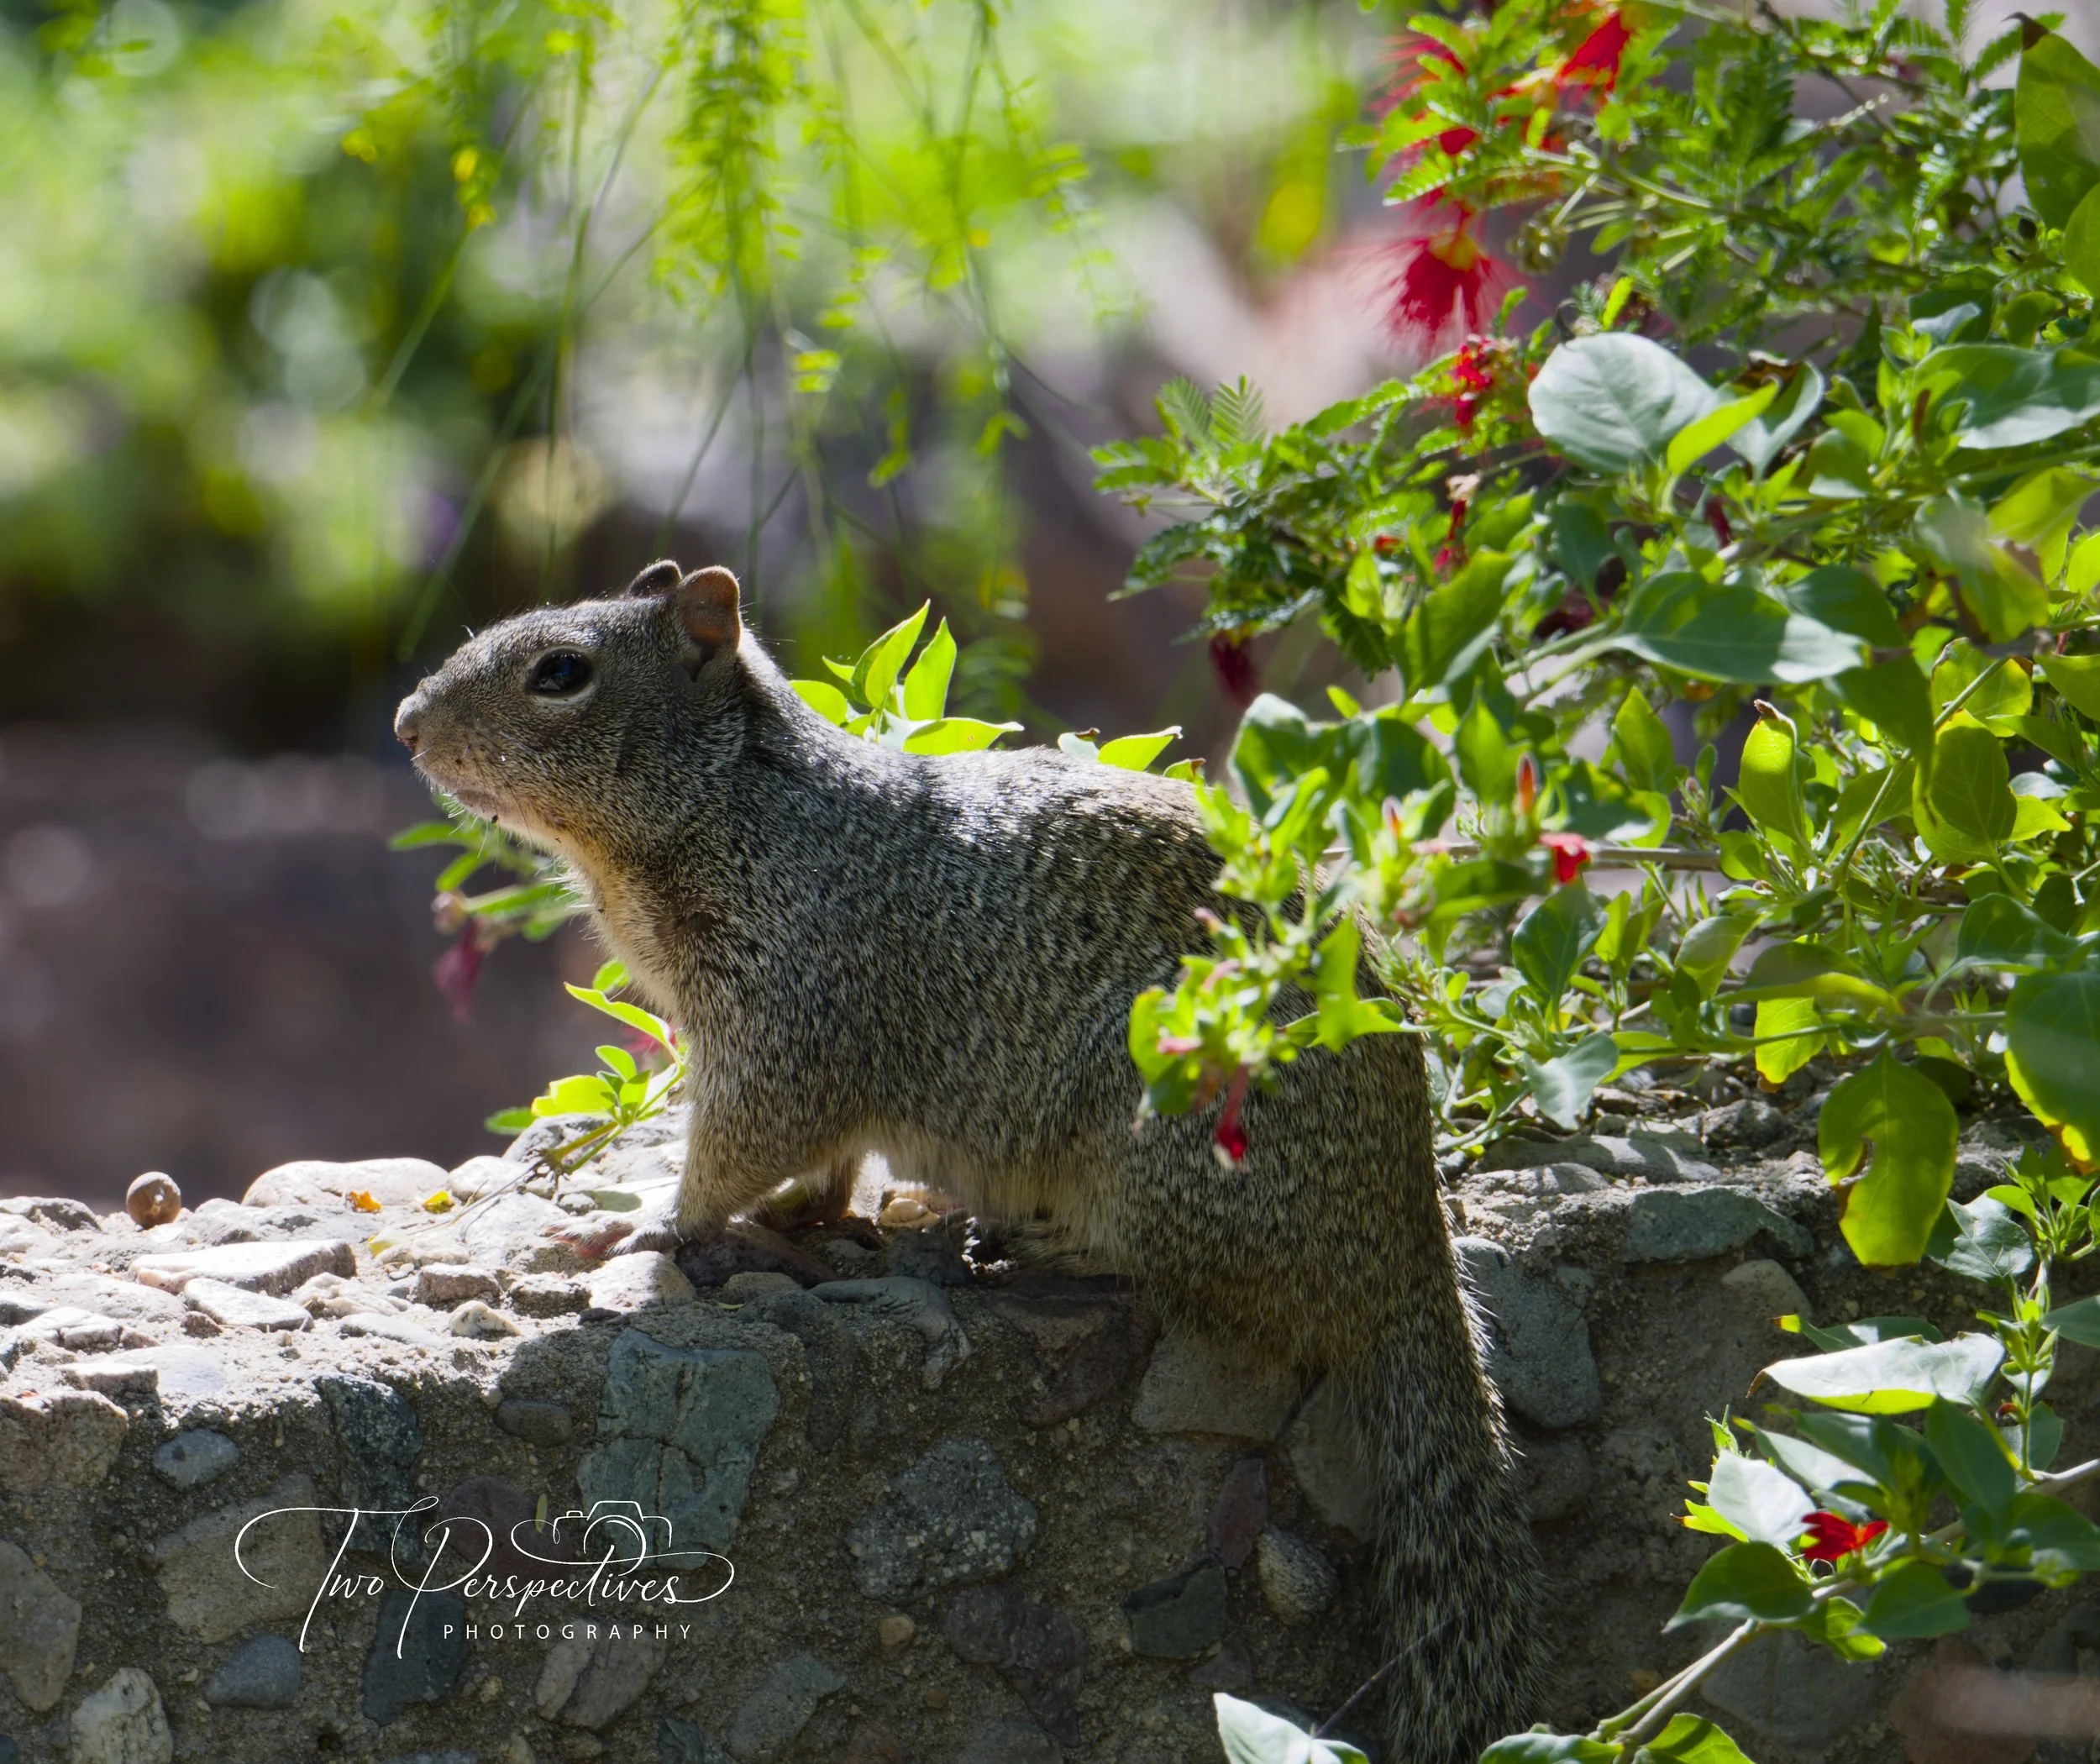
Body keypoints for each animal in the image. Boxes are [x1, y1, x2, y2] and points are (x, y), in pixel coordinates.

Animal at [394, 559, 1546, 1764]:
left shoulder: (786, 1022)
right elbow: (826, 1165)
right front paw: (805, 1217)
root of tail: (1405, 1249)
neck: (741, 805)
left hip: (1173, 1132)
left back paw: (1032, 1241)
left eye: (560, 672)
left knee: (1173, 1274)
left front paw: (657, 1220)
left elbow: (742, 1144)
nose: (407, 725)